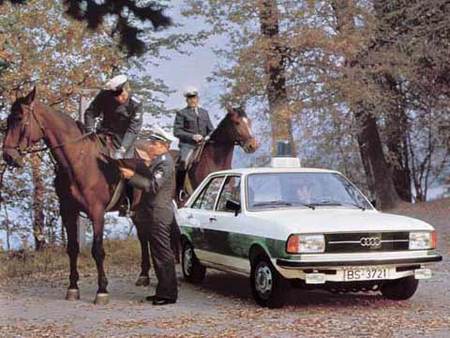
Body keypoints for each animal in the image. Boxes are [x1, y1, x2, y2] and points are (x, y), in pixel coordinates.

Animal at [2, 88, 125, 304]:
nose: (8, 156)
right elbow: (72, 248)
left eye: (19, 118)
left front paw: (102, 290)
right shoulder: (68, 211)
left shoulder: (97, 213)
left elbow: (97, 250)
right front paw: (73, 287)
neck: (80, 161)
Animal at [134, 105, 258, 286]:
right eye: (236, 122)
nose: (253, 145)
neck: (214, 162)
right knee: (144, 236)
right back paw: (144, 275)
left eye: (249, 121)